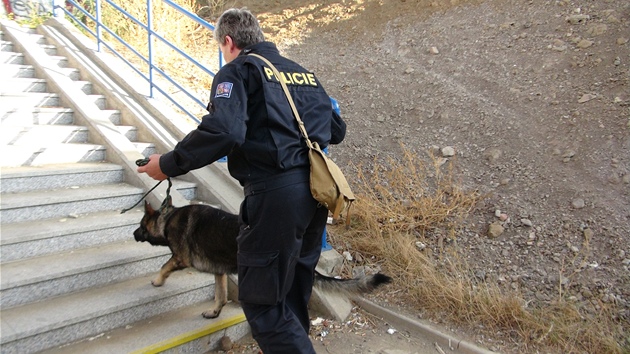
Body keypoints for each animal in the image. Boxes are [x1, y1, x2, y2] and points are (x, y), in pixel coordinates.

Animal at [133, 198, 390, 320]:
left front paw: (157, 281)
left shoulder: (180, 258)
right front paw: (214, 312)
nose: (133, 234)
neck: (167, 218)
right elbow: (220, 296)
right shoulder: (219, 272)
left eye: (140, 226)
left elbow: (164, 265)